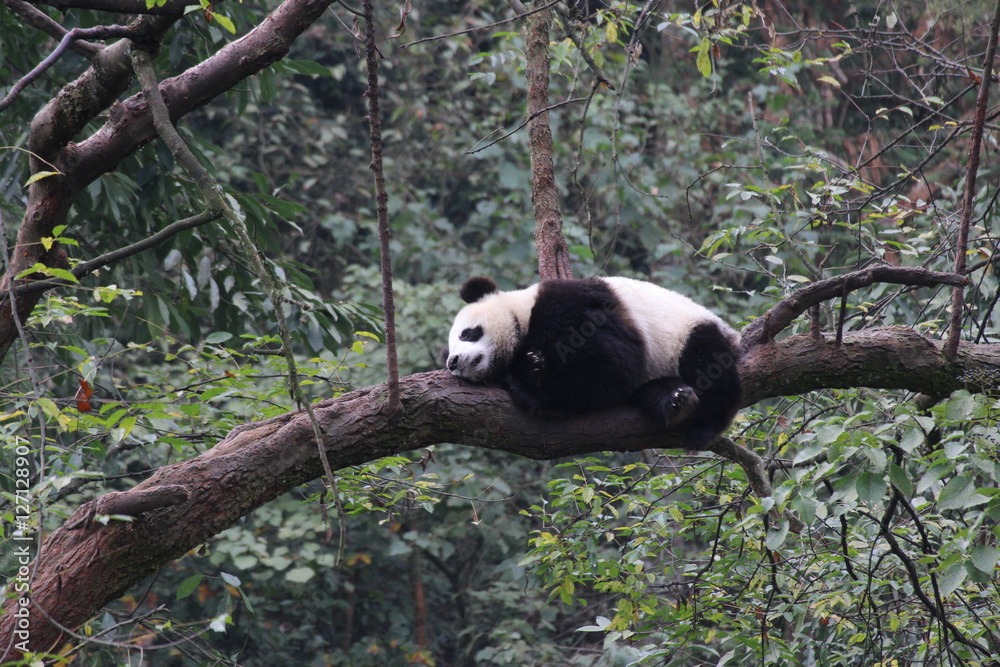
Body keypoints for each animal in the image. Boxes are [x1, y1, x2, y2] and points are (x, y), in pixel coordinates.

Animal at [445, 275, 742, 451]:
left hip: (686, 334)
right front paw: (531, 366)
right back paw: (671, 399)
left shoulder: (569, 307)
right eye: (448, 349)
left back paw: (702, 427)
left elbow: (613, 366)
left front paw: (528, 388)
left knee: (709, 366)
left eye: (467, 333)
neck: (522, 314)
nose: (453, 361)